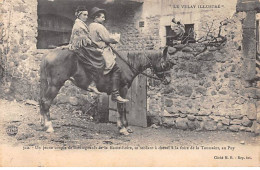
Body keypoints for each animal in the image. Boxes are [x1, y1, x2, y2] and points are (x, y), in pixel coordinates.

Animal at [39, 46, 174, 135]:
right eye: (166, 64)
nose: (168, 80)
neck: (128, 63)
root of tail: (47, 55)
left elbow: (122, 107)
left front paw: (125, 127)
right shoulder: (122, 89)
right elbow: (121, 107)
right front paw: (123, 128)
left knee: (42, 101)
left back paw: (43, 123)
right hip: (55, 85)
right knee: (46, 102)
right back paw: (49, 126)